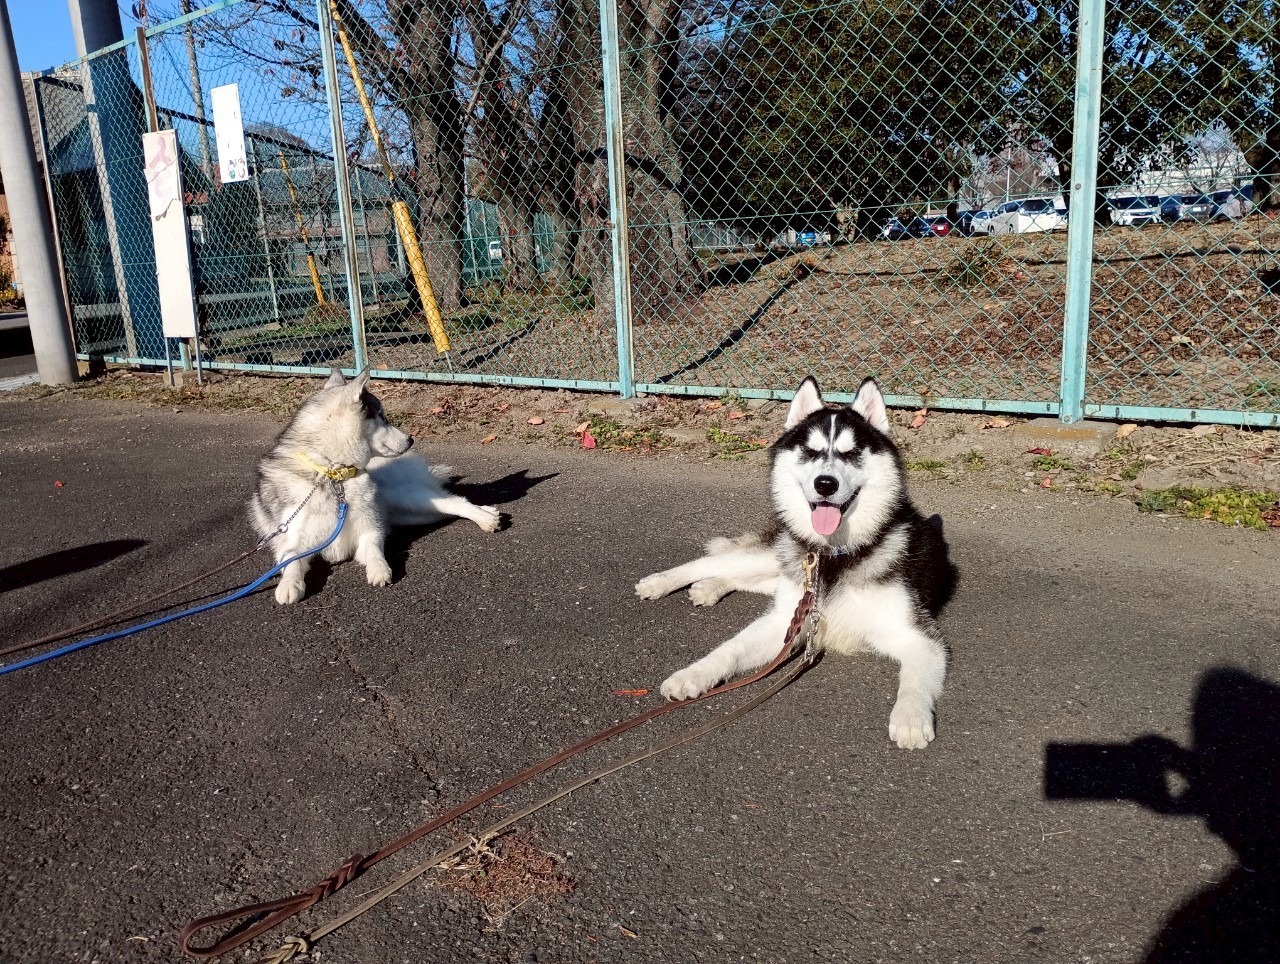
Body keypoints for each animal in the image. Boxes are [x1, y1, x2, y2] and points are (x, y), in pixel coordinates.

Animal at [251, 369, 501, 604]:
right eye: (381, 416)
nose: (411, 439)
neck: (333, 474)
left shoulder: (370, 530)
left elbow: (373, 550)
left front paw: (380, 569)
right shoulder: (290, 543)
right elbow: (291, 562)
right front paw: (289, 584)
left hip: (402, 496)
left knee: (453, 501)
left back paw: (485, 518)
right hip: (410, 515)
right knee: (443, 509)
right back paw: (489, 512)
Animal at [635, 376, 957, 749]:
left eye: (851, 453)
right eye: (810, 451)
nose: (826, 484)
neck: (832, 556)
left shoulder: (918, 637)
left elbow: (914, 680)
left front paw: (910, 718)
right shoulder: (784, 625)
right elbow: (729, 650)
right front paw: (693, 673)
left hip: (784, 570)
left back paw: (708, 588)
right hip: (778, 559)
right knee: (711, 561)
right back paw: (663, 582)